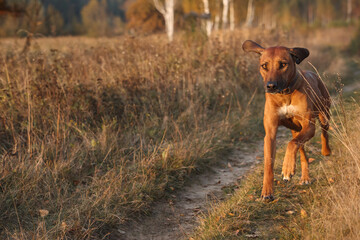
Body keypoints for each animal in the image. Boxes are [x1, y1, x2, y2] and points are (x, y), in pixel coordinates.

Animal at [242, 40, 332, 200]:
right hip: (296, 130)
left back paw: (326, 151)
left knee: (324, 133)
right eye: (264, 66)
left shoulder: (309, 126)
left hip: (323, 113)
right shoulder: (270, 133)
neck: (284, 94)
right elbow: (269, 163)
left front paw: (287, 168)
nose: (271, 86)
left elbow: (291, 144)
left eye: (283, 64)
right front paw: (267, 191)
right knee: (302, 151)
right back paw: (305, 177)